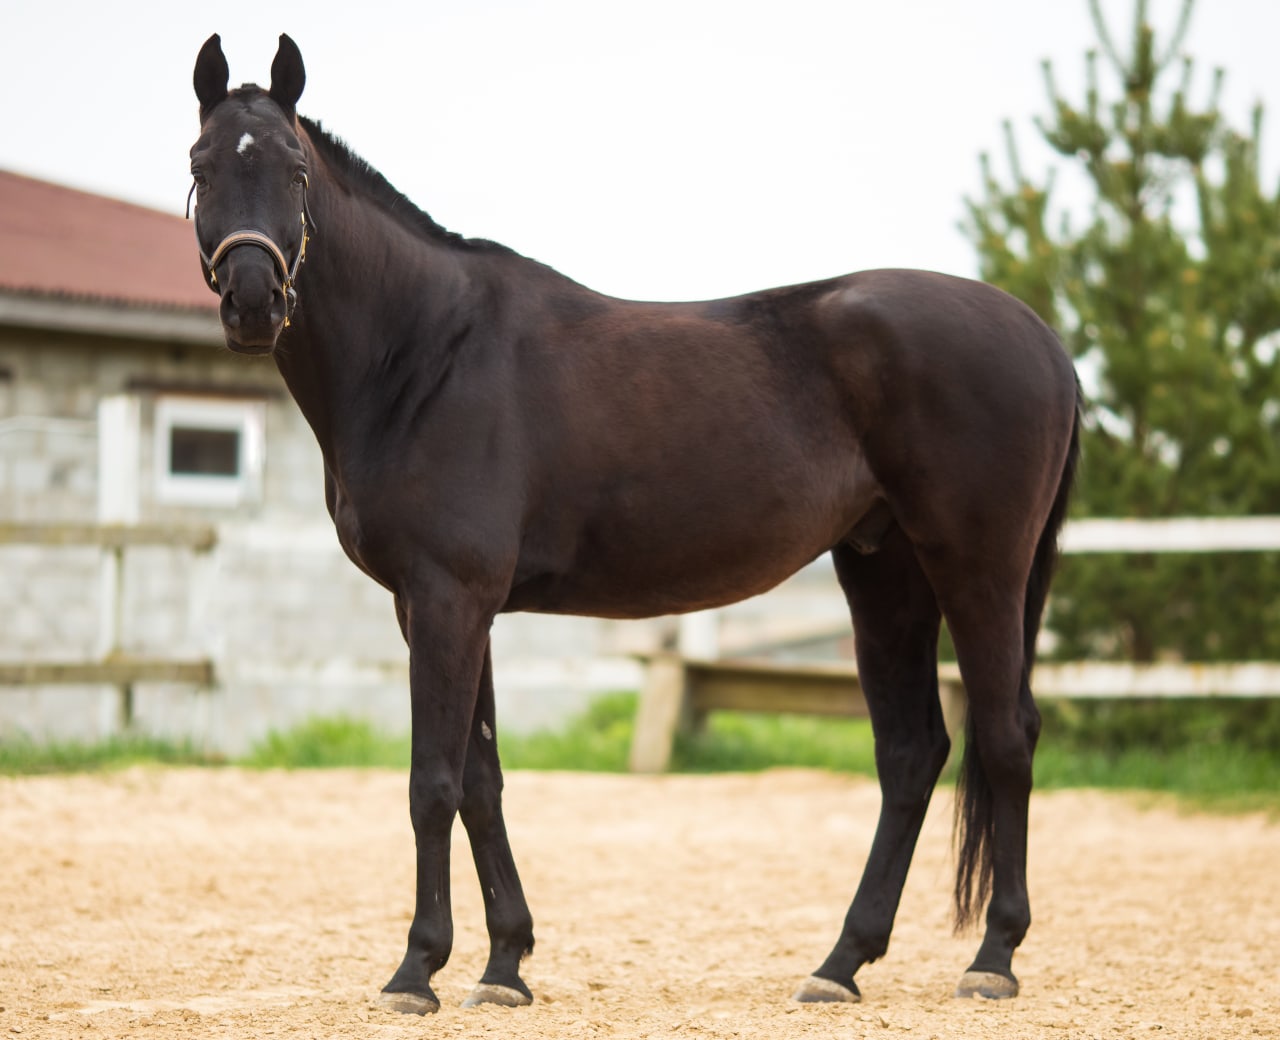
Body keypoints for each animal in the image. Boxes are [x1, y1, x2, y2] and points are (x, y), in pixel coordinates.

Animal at [189, 33, 1081, 1015]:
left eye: (296, 168)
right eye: (201, 165)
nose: (252, 301)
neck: (426, 352)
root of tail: (1043, 339)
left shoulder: (448, 597)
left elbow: (433, 782)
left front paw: (417, 970)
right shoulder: (448, 606)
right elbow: (482, 782)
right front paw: (505, 965)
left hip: (978, 568)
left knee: (1006, 735)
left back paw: (991, 958)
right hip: (884, 573)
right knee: (913, 753)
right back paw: (840, 963)